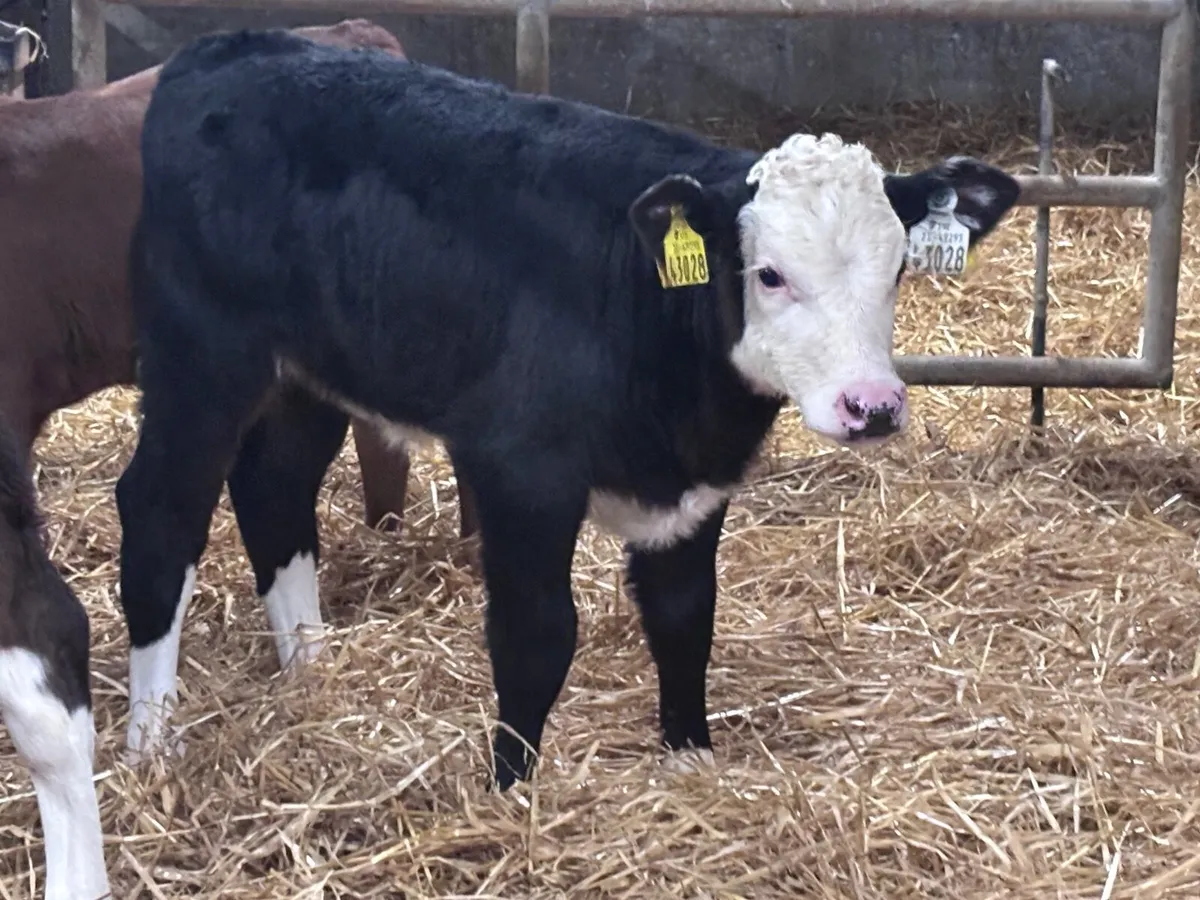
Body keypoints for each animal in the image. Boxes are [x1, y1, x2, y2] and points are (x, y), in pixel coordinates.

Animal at [114, 27, 1021, 789]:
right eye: (768, 274)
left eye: (897, 266)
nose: (872, 406)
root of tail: (225, 47)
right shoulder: (523, 471)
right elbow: (537, 636)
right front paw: (510, 790)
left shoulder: (694, 492)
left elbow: (685, 616)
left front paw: (689, 761)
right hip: (202, 357)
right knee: (160, 511)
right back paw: (149, 742)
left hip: (306, 378)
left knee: (274, 487)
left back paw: (311, 671)